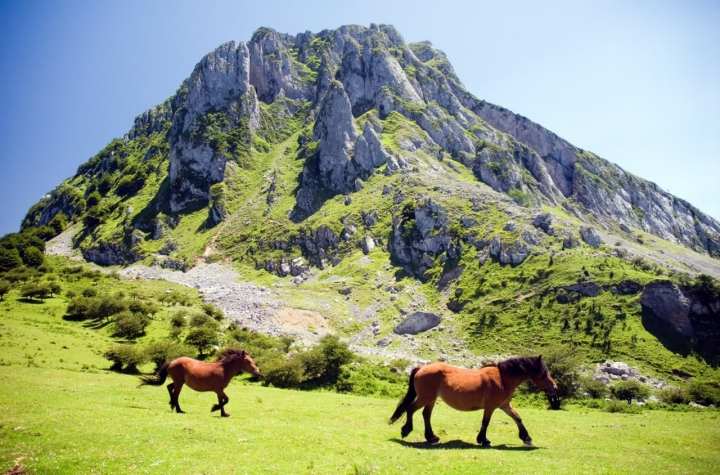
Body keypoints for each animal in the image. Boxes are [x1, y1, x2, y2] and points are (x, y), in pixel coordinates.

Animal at [389, 356, 558, 446]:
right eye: (543, 374)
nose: (554, 388)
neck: (502, 379)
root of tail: (421, 368)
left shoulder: (504, 405)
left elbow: (517, 418)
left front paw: (526, 438)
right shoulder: (490, 406)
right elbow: (485, 422)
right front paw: (483, 440)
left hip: (430, 399)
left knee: (426, 415)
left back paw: (432, 437)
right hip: (426, 398)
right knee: (411, 409)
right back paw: (406, 430)